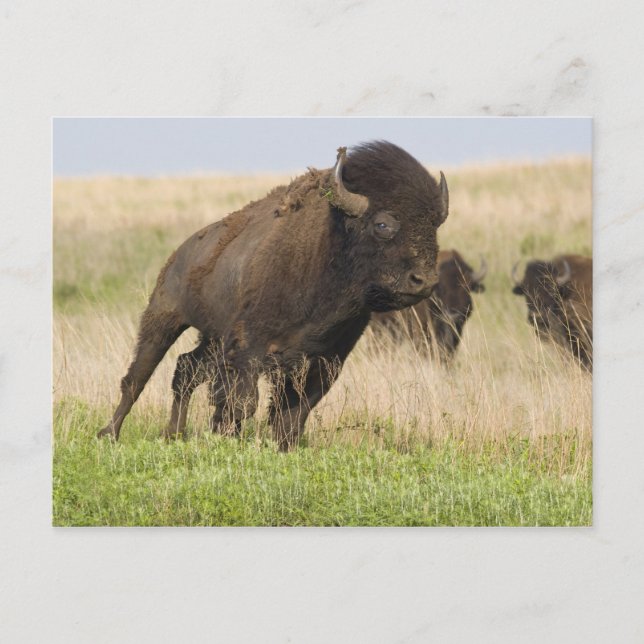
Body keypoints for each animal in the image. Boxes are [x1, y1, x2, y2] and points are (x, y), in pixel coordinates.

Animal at [98, 141, 450, 450]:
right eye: (383, 224)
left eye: (434, 226)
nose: (424, 280)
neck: (327, 249)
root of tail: (181, 252)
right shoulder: (248, 349)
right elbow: (242, 403)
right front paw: (229, 440)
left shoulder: (325, 362)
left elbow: (292, 415)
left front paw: (278, 447)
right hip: (163, 317)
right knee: (137, 377)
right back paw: (109, 434)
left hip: (212, 339)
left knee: (185, 370)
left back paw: (173, 434)